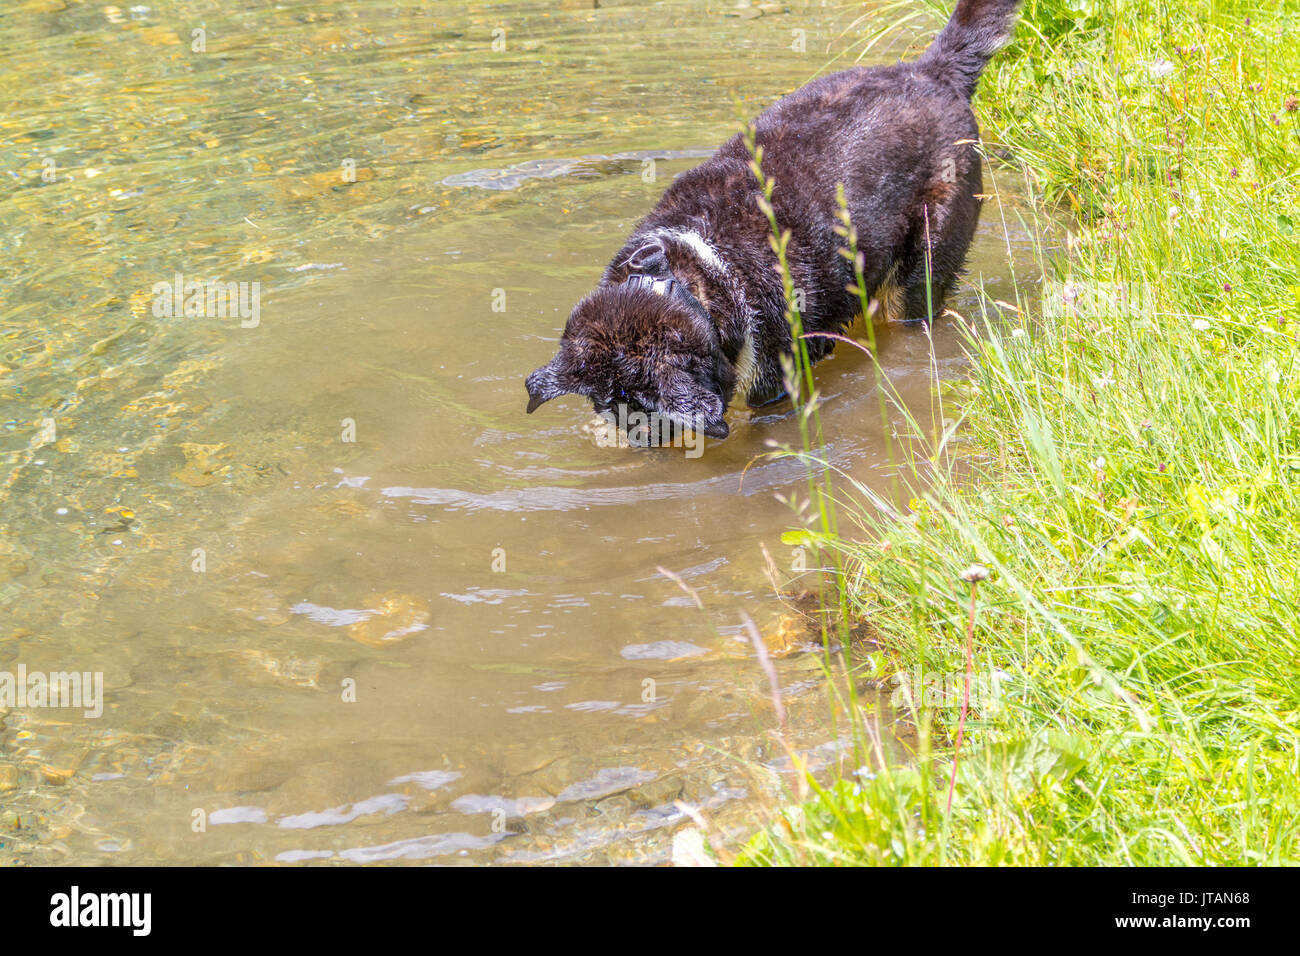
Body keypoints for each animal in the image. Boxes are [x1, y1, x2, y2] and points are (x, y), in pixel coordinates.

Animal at [522, 0, 1019, 442]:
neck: (696, 274)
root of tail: (933, 71)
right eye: (606, 406)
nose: (636, 441)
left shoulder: (776, 385)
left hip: (926, 262)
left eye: (643, 410)